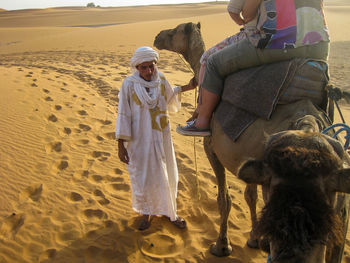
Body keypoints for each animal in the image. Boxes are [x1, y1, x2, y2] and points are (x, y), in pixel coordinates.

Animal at [154, 22, 350, 262]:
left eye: (174, 32)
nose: (157, 36)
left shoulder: (212, 149)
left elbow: (224, 199)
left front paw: (222, 246)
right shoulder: (249, 156)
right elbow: (250, 195)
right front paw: (255, 239)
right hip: (339, 211)